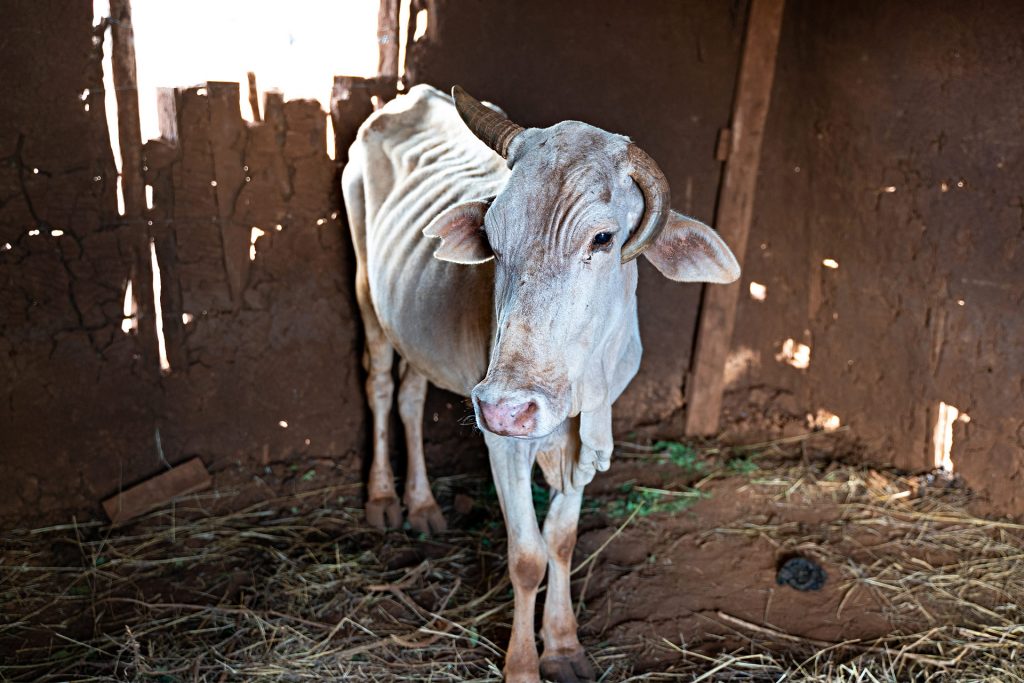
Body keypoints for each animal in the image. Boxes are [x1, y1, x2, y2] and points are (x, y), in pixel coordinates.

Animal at [342, 85, 737, 683]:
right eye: (492, 236)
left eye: (603, 237)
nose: (507, 408)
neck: (580, 383)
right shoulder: (503, 442)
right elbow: (528, 556)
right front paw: (524, 665)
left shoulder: (585, 438)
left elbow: (562, 541)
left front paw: (564, 646)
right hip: (368, 291)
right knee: (382, 386)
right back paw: (385, 497)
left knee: (411, 396)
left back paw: (423, 504)